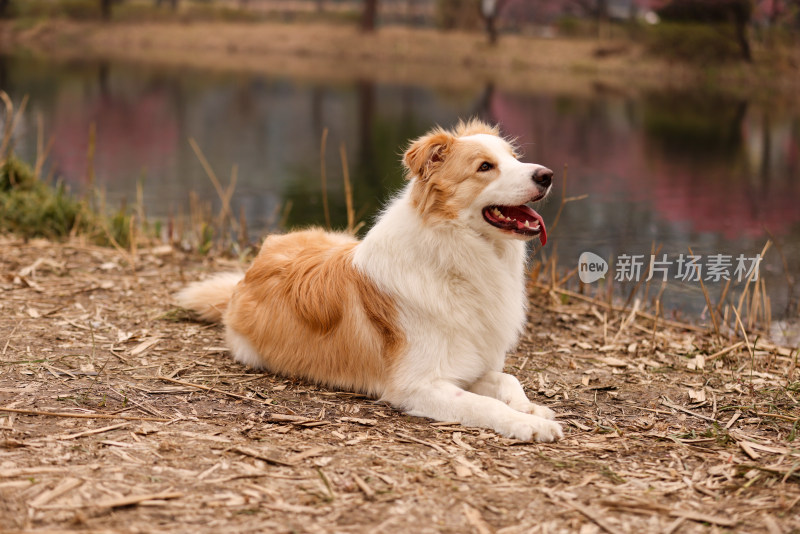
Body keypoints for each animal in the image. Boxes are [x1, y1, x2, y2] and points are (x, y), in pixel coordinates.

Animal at [177, 120, 564, 444]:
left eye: (514, 158)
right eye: (485, 167)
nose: (547, 175)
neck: (452, 254)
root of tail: (252, 269)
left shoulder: (471, 366)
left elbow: (508, 380)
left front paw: (530, 408)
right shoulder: (416, 385)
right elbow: (485, 404)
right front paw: (528, 424)